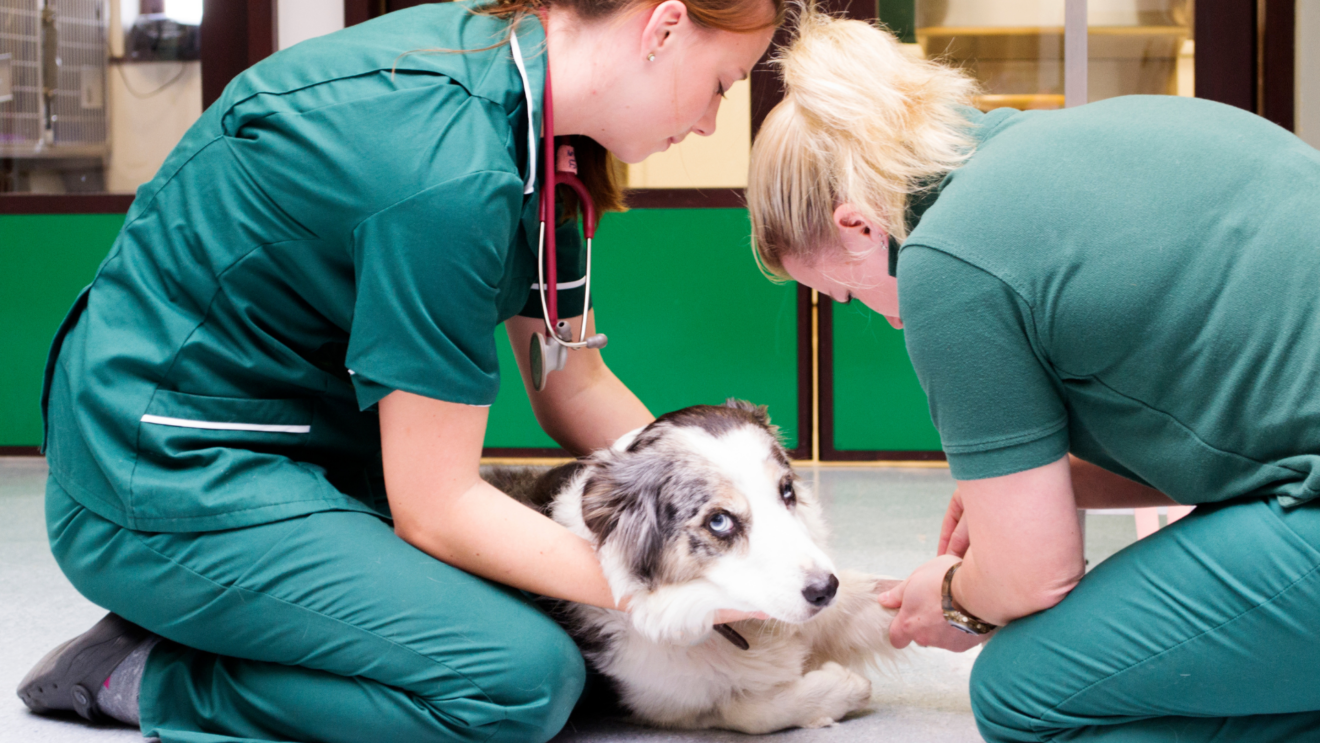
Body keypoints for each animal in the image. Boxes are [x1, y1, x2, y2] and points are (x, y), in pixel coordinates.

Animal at [488, 401, 908, 733]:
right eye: (719, 521)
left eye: (787, 491)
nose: (825, 590)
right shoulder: (664, 701)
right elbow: (749, 711)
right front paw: (844, 686)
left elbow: (885, 596)